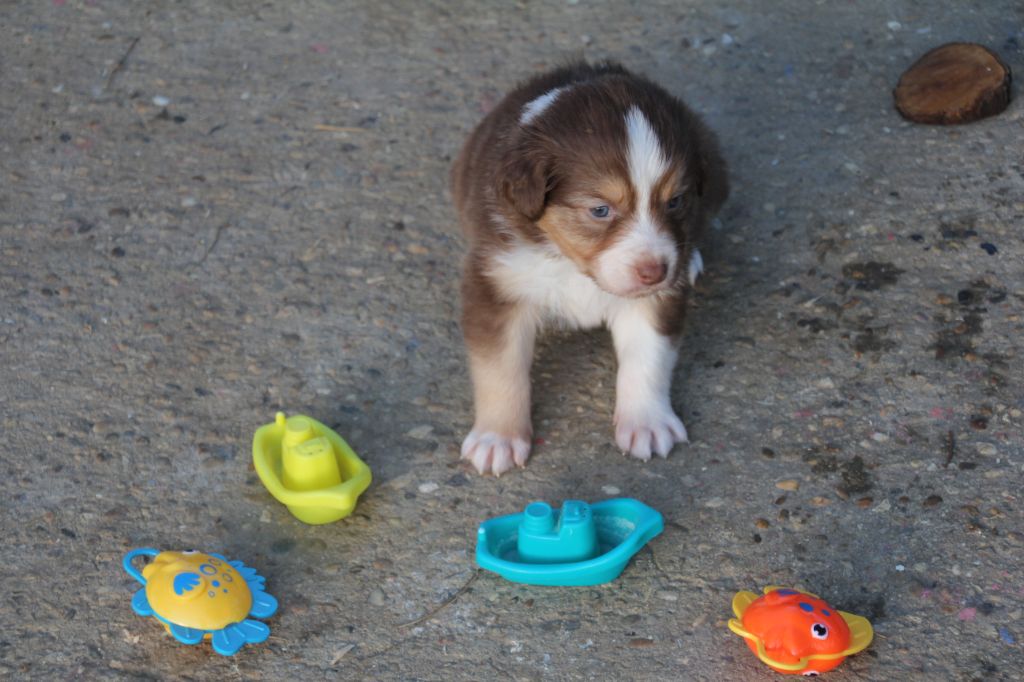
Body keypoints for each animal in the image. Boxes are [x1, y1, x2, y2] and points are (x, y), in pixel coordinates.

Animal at [450, 63, 729, 475]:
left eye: (675, 201)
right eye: (600, 210)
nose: (656, 272)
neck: (574, 268)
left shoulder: (654, 300)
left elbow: (648, 357)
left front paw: (646, 423)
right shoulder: (495, 284)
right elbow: (500, 367)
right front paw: (497, 437)